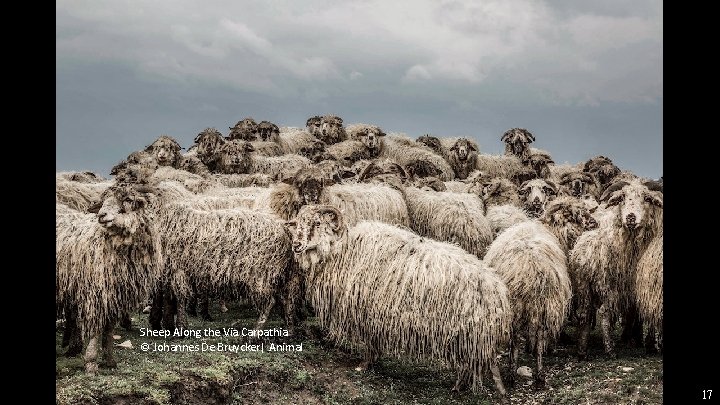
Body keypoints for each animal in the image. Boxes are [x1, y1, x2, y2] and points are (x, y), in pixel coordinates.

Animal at [56, 182, 163, 373]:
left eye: (127, 199)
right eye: (104, 201)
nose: (101, 215)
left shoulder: (115, 297)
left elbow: (109, 330)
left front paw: (109, 360)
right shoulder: (96, 295)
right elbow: (96, 330)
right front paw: (91, 363)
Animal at [286, 205, 512, 401]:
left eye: (317, 223)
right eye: (298, 223)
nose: (296, 245)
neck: (342, 250)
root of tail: (497, 291)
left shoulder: (366, 310)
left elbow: (369, 343)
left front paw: (364, 365)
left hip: (467, 334)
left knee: (467, 365)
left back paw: (457, 386)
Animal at [571, 179, 663, 359]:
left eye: (647, 198)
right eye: (622, 198)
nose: (630, 217)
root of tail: (588, 255)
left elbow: (635, 313)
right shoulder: (641, 284)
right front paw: (646, 343)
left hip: (583, 286)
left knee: (584, 313)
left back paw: (582, 350)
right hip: (608, 285)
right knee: (604, 312)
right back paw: (610, 349)